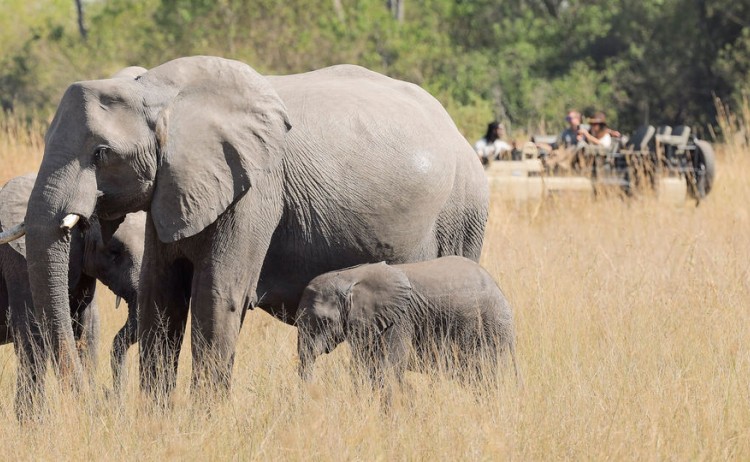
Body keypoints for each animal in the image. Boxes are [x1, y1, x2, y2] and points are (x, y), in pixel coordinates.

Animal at [0, 174, 146, 415]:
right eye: (114, 252)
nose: (111, 393)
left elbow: (88, 330)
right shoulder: (18, 262)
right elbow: (32, 333)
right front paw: (33, 420)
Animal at [11, 56, 488, 399]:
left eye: (101, 153)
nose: (87, 397)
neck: (159, 92)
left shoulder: (256, 188)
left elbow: (216, 294)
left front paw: (202, 425)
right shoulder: (173, 186)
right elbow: (161, 293)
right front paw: (156, 422)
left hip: (461, 212)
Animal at [296, 256, 518, 396]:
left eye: (325, 321)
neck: (350, 276)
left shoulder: (399, 319)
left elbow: (386, 370)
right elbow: (363, 369)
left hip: (490, 328)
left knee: (484, 376)